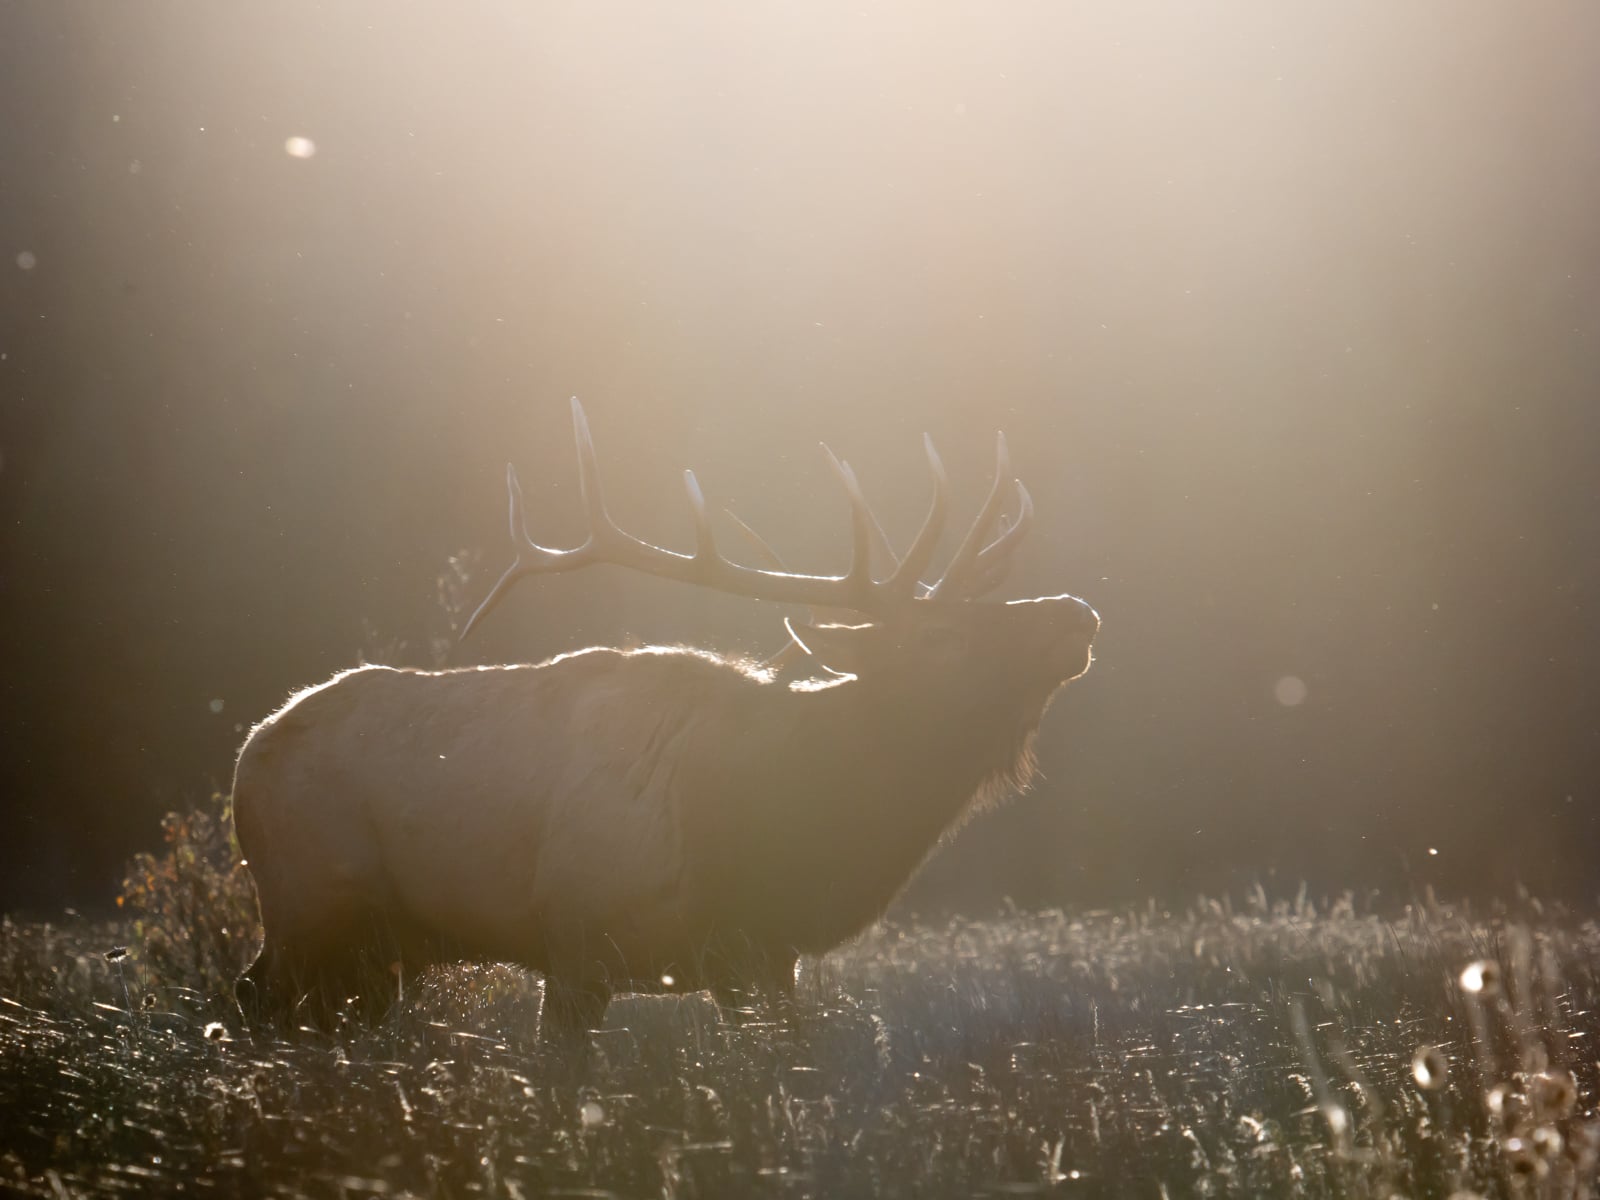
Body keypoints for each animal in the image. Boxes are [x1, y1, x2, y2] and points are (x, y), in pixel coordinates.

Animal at [231, 399, 1099, 1038]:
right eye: (941, 635)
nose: (1078, 612)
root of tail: (248, 752)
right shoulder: (577, 941)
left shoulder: (764, 957)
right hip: (306, 908)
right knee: (252, 1000)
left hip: (368, 954)